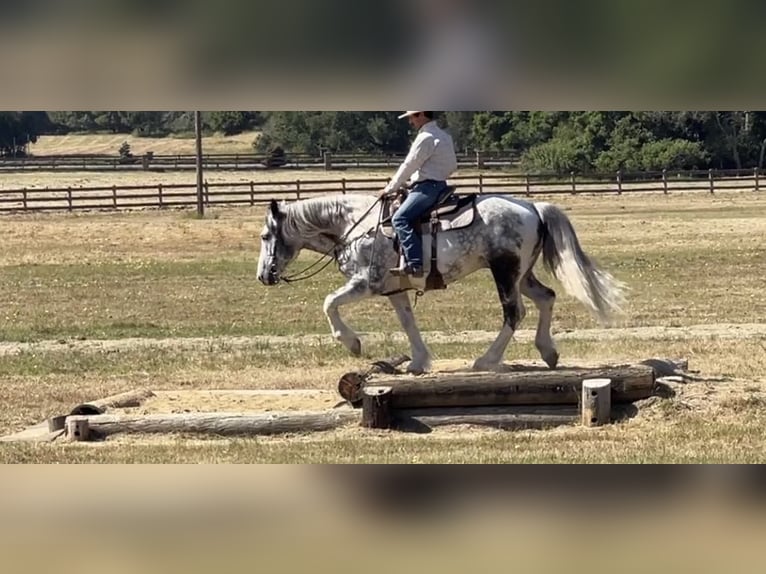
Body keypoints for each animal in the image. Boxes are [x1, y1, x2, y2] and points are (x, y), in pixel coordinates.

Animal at [258, 191, 632, 376]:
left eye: (265, 236)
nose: (263, 276)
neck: (354, 225)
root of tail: (531, 206)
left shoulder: (367, 283)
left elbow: (330, 303)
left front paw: (352, 343)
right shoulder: (394, 290)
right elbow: (408, 323)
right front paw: (419, 362)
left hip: (505, 272)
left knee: (514, 313)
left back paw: (486, 361)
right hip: (522, 275)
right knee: (546, 298)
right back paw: (548, 351)